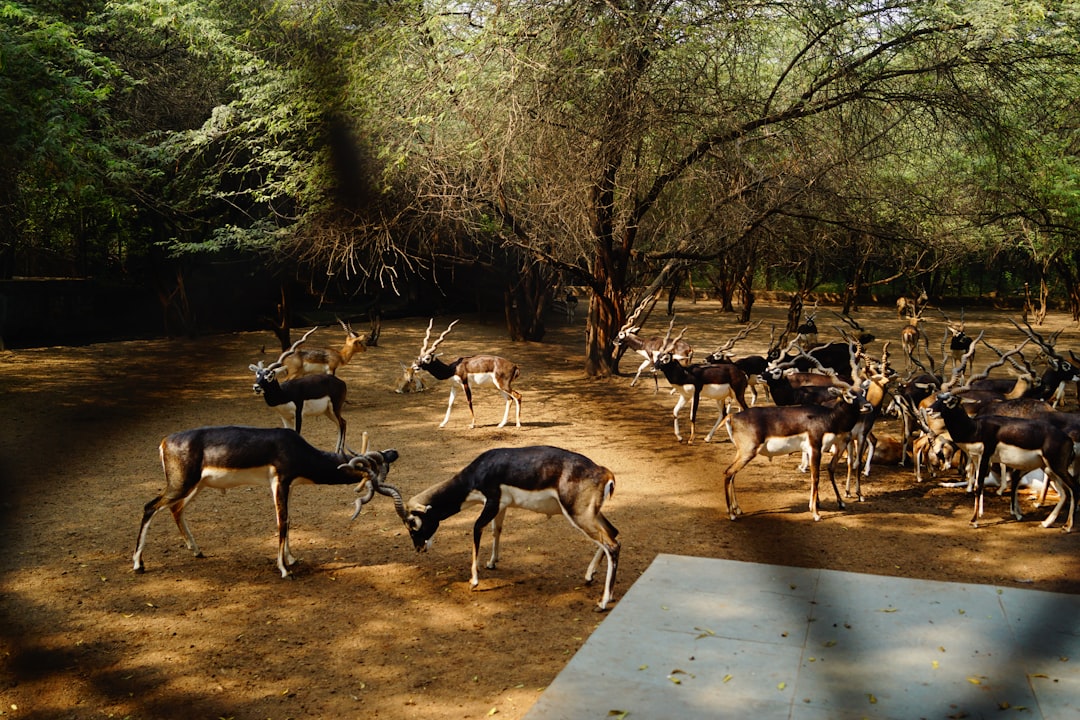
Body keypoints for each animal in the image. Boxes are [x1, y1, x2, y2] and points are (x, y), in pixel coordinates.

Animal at [401, 446, 622, 613]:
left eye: (413, 523)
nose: (419, 548)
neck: (480, 471)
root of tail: (604, 472)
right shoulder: (502, 506)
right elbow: (497, 529)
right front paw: (492, 562)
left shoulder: (491, 502)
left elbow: (476, 528)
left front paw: (474, 581)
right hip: (591, 514)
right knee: (614, 533)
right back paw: (590, 576)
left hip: (579, 515)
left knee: (611, 545)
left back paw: (603, 602)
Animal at [721, 388, 872, 524]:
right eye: (849, 395)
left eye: (863, 392)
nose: (868, 406)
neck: (829, 417)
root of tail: (732, 417)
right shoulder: (815, 449)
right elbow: (815, 478)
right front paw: (815, 513)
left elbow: (824, 472)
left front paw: (835, 504)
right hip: (748, 452)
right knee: (728, 472)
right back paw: (732, 514)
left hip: (742, 453)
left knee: (731, 474)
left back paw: (737, 509)